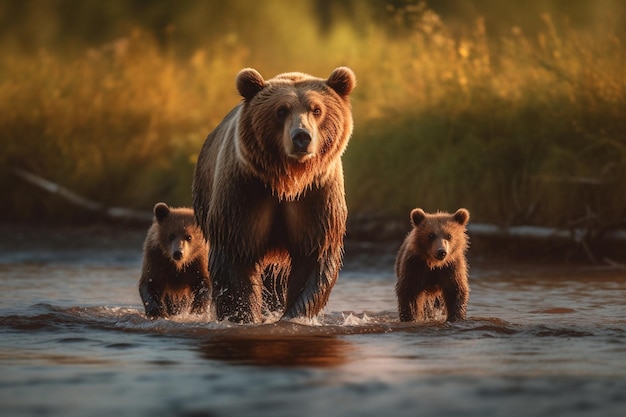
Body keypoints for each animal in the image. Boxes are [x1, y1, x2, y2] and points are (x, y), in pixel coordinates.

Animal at [190, 66, 356, 324]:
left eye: (317, 109)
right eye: (281, 110)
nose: (301, 137)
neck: (288, 180)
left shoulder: (316, 197)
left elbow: (313, 259)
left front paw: (294, 316)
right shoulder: (245, 193)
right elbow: (235, 258)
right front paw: (243, 314)